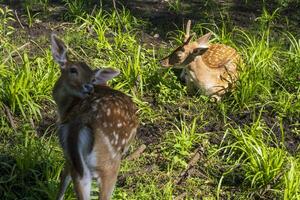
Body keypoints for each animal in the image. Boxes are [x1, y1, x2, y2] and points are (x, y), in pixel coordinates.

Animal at [51, 34, 138, 200]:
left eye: (92, 78)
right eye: (73, 70)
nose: (88, 87)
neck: (65, 108)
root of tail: (85, 116)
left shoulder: (67, 154)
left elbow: (64, 177)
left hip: (75, 158)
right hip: (109, 164)